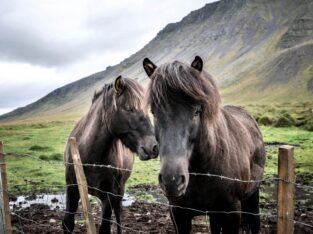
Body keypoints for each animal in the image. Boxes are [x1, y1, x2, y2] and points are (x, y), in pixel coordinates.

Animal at [62, 76, 158, 233]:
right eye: (129, 108)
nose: (153, 147)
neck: (92, 158)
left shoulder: (110, 194)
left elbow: (105, 227)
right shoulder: (72, 187)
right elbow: (68, 223)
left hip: (118, 191)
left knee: (118, 215)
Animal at [143, 56, 264, 234]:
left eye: (196, 111)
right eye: (154, 112)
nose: (172, 180)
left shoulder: (232, 212)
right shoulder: (178, 214)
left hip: (253, 196)